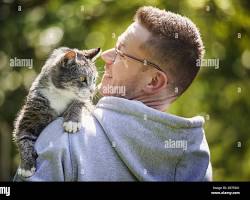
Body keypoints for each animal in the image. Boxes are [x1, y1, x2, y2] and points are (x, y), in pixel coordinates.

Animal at [12, 47, 100, 178]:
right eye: (82, 79)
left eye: (94, 79)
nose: (93, 91)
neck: (60, 94)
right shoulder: (28, 117)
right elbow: (23, 139)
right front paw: (26, 167)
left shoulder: (87, 104)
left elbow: (80, 102)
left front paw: (72, 122)